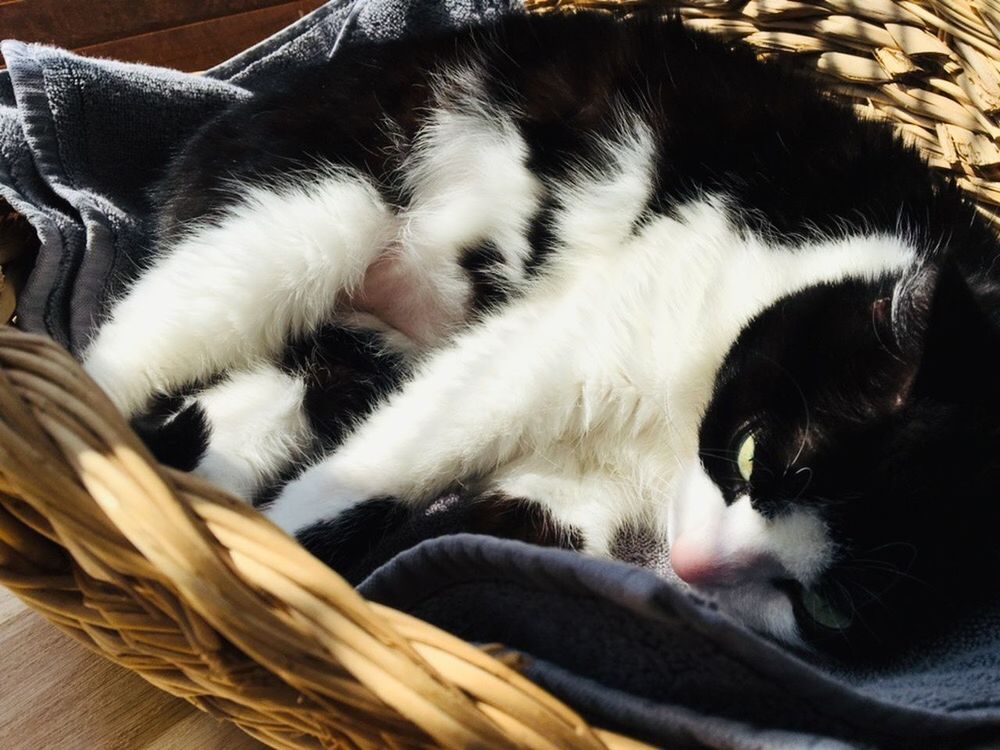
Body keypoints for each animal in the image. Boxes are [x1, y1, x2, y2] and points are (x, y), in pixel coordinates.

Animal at [80, 11, 1000, 656]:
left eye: (825, 609)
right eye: (750, 457)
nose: (693, 569)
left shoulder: (574, 490)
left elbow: (474, 545)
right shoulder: (549, 347)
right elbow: (372, 477)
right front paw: (284, 577)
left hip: (345, 353)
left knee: (264, 399)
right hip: (304, 223)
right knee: (112, 364)